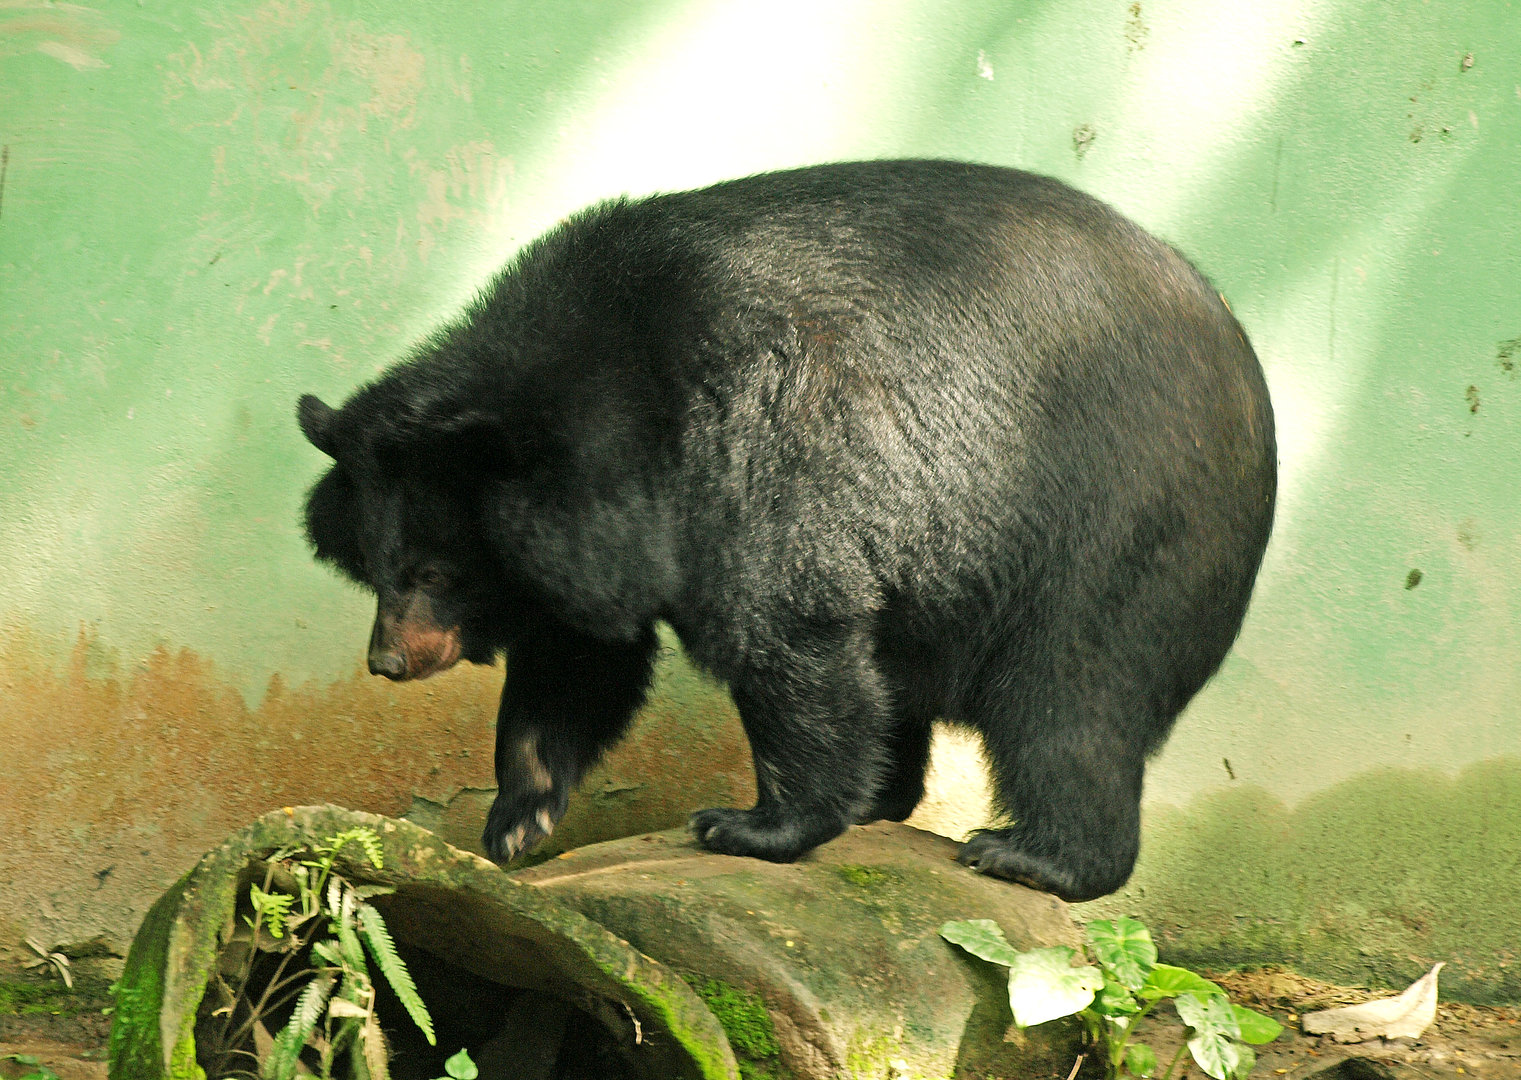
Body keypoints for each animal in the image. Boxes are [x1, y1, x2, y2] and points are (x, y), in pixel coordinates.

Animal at [298, 159, 1276, 902]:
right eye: (376, 566)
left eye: (433, 571)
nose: (389, 661)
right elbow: (580, 663)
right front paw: (516, 817)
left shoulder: (756, 451)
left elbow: (787, 638)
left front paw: (749, 825)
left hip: (1115, 529)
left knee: (1067, 699)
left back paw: (1030, 855)